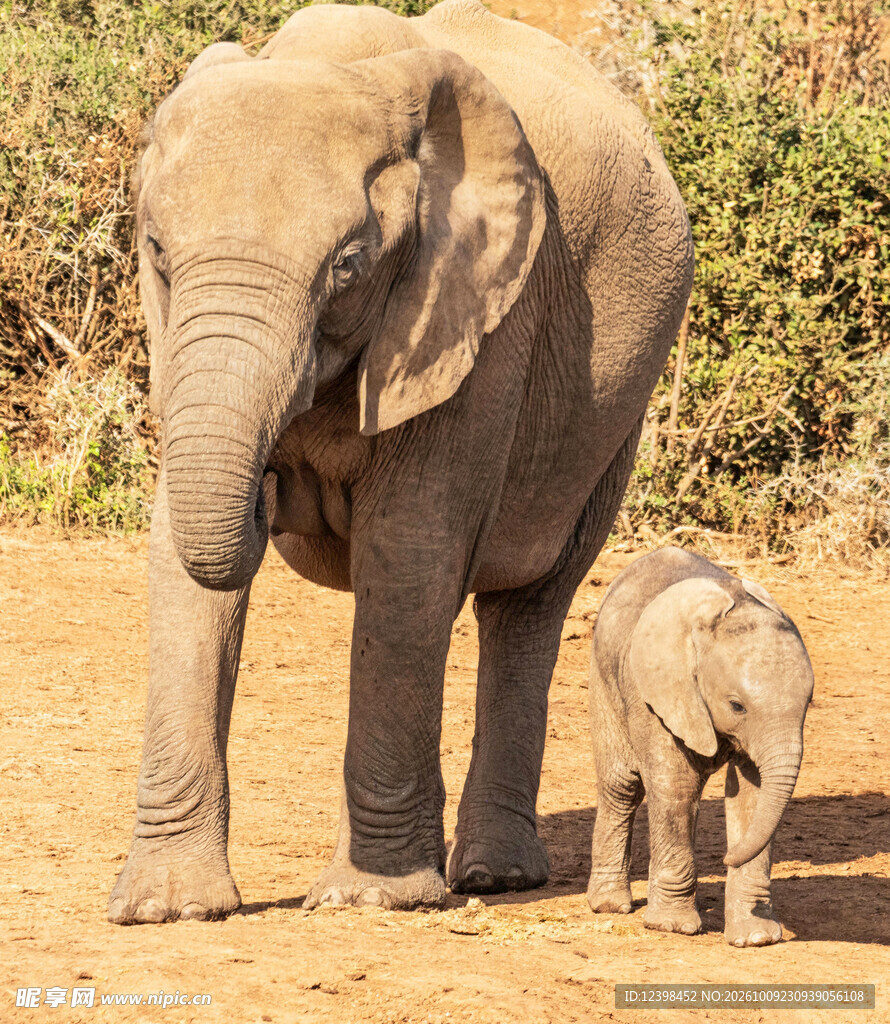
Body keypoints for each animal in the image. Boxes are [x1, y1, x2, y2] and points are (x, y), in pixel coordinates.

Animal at [108, 0, 694, 924]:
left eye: (347, 266)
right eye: (158, 251)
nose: (271, 494)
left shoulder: (482, 316)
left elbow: (407, 556)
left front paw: (370, 900)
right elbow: (179, 561)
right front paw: (168, 910)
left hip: (612, 411)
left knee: (532, 598)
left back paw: (493, 878)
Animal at [586, 547, 814, 946]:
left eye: (809, 702)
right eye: (737, 706)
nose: (726, 859)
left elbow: (753, 794)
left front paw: (755, 938)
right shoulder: (657, 693)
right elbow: (676, 786)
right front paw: (672, 927)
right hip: (604, 675)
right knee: (622, 785)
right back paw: (610, 906)